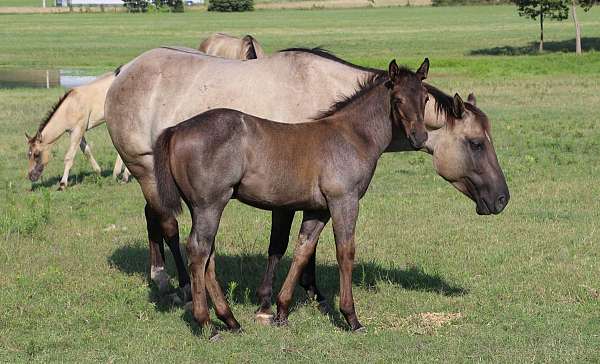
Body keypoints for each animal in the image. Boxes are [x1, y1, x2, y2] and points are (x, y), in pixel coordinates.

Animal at [150, 60, 428, 336]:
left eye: (425, 98)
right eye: (398, 99)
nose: (420, 137)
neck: (352, 136)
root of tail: (176, 129)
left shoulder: (318, 209)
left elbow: (303, 250)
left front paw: (282, 311)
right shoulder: (344, 201)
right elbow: (345, 252)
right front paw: (351, 317)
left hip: (202, 207)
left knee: (209, 256)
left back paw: (230, 320)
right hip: (209, 205)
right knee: (199, 252)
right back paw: (207, 324)